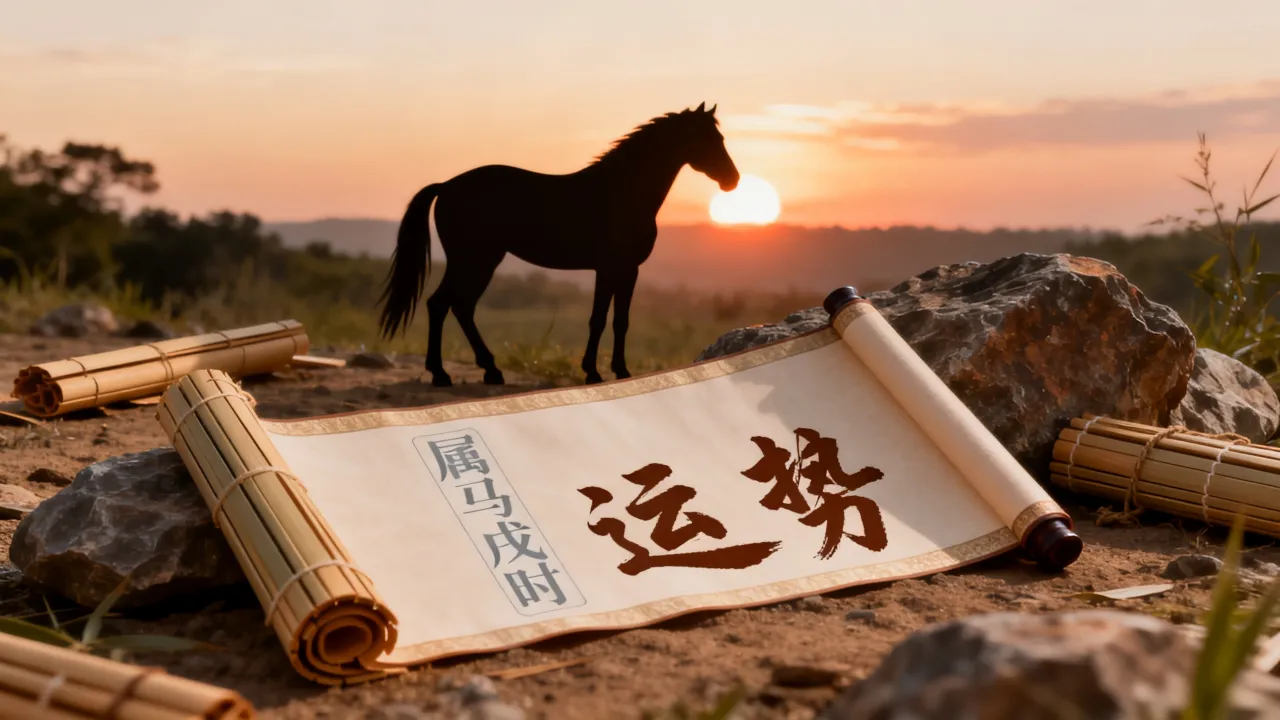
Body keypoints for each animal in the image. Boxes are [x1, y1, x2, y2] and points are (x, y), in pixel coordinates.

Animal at [376, 102, 740, 387]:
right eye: (709, 139)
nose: (732, 181)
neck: (621, 191)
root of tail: (446, 186)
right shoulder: (612, 268)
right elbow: (601, 319)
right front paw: (596, 372)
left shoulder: (624, 270)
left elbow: (618, 320)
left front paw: (616, 371)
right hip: (474, 260)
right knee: (442, 304)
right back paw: (443, 375)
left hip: (481, 261)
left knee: (459, 307)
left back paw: (489, 371)